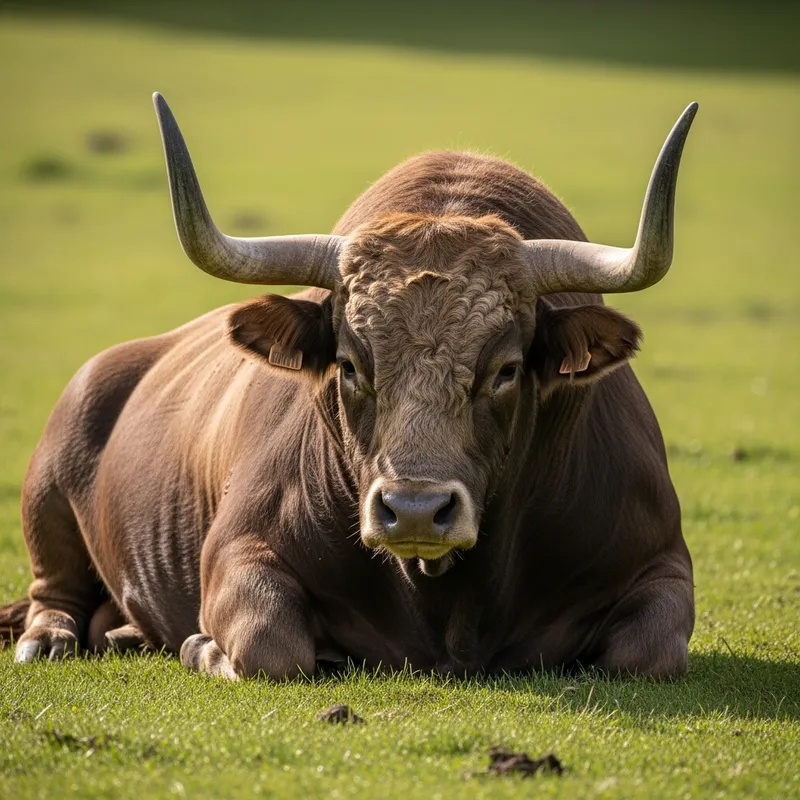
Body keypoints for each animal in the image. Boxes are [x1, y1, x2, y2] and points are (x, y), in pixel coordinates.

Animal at [0, 94, 698, 680]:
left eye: (504, 368)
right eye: (350, 364)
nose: (414, 509)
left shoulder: (665, 565)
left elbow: (648, 652)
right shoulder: (237, 553)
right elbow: (269, 645)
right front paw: (201, 645)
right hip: (47, 498)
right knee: (53, 591)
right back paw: (50, 639)